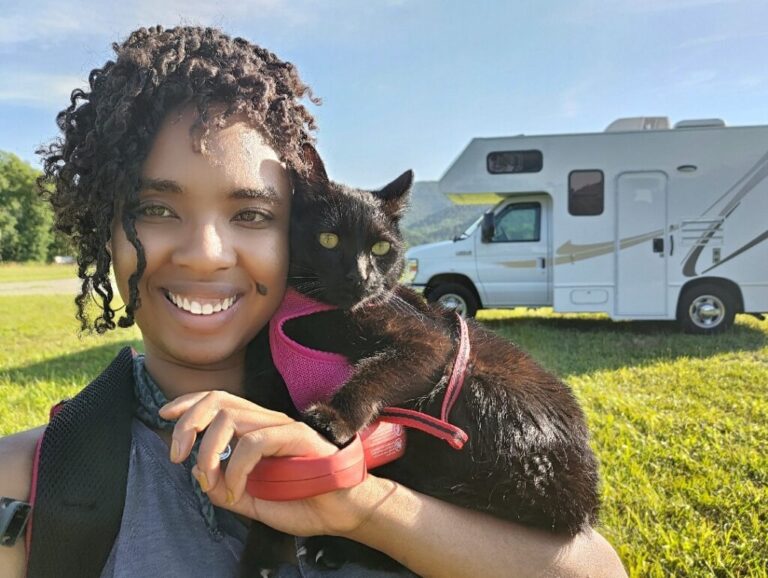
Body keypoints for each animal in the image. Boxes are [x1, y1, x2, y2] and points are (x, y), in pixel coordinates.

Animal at [243, 145, 604, 572]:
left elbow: (375, 370)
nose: (360, 277)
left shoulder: (428, 343)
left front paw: (336, 416)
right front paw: (261, 556)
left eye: (381, 248)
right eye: (328, 239)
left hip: (475, 387)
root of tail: (581, 498)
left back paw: (334, 547)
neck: (310, 312)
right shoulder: (268, 381)